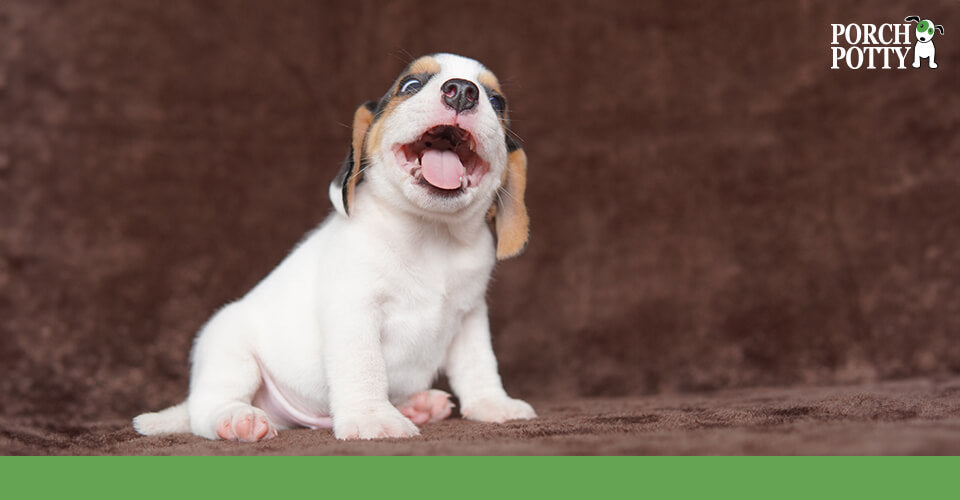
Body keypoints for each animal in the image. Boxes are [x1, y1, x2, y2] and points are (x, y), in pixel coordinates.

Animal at [135, 51, 536, 442]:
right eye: (410, 85)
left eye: (497, 101)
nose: (462, 92)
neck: (431, 236)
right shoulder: (355, 312)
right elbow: (365, 369)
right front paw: (374, 418)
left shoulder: (470, 319)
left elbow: (479, 367)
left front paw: (493, 405)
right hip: (229, 352)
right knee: (206, 411)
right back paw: (236, 420)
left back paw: (417, 406)